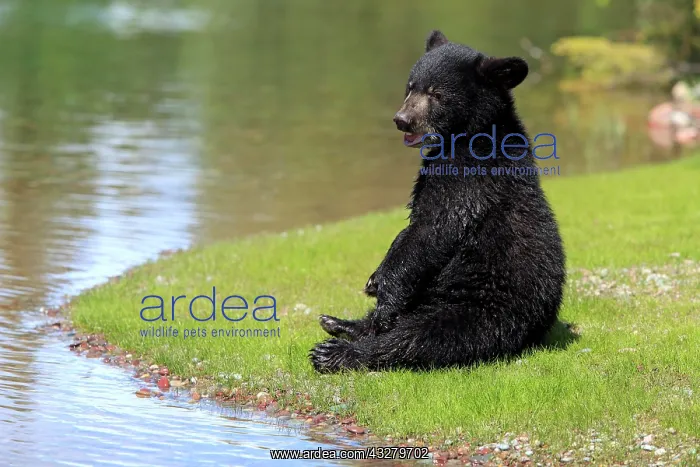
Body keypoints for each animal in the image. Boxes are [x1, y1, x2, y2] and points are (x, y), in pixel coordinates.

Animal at [309, 30, 566, 373]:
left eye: (437, 94)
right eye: (410, 86)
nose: (402, 120)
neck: (468, 135)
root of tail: (538, 331)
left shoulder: (468, 178)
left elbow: (432, 231)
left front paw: (384, 288)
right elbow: (408, 228)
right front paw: (374, 278)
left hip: (480, 309)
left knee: (419, 337)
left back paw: (337, 352)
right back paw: (340, 323)